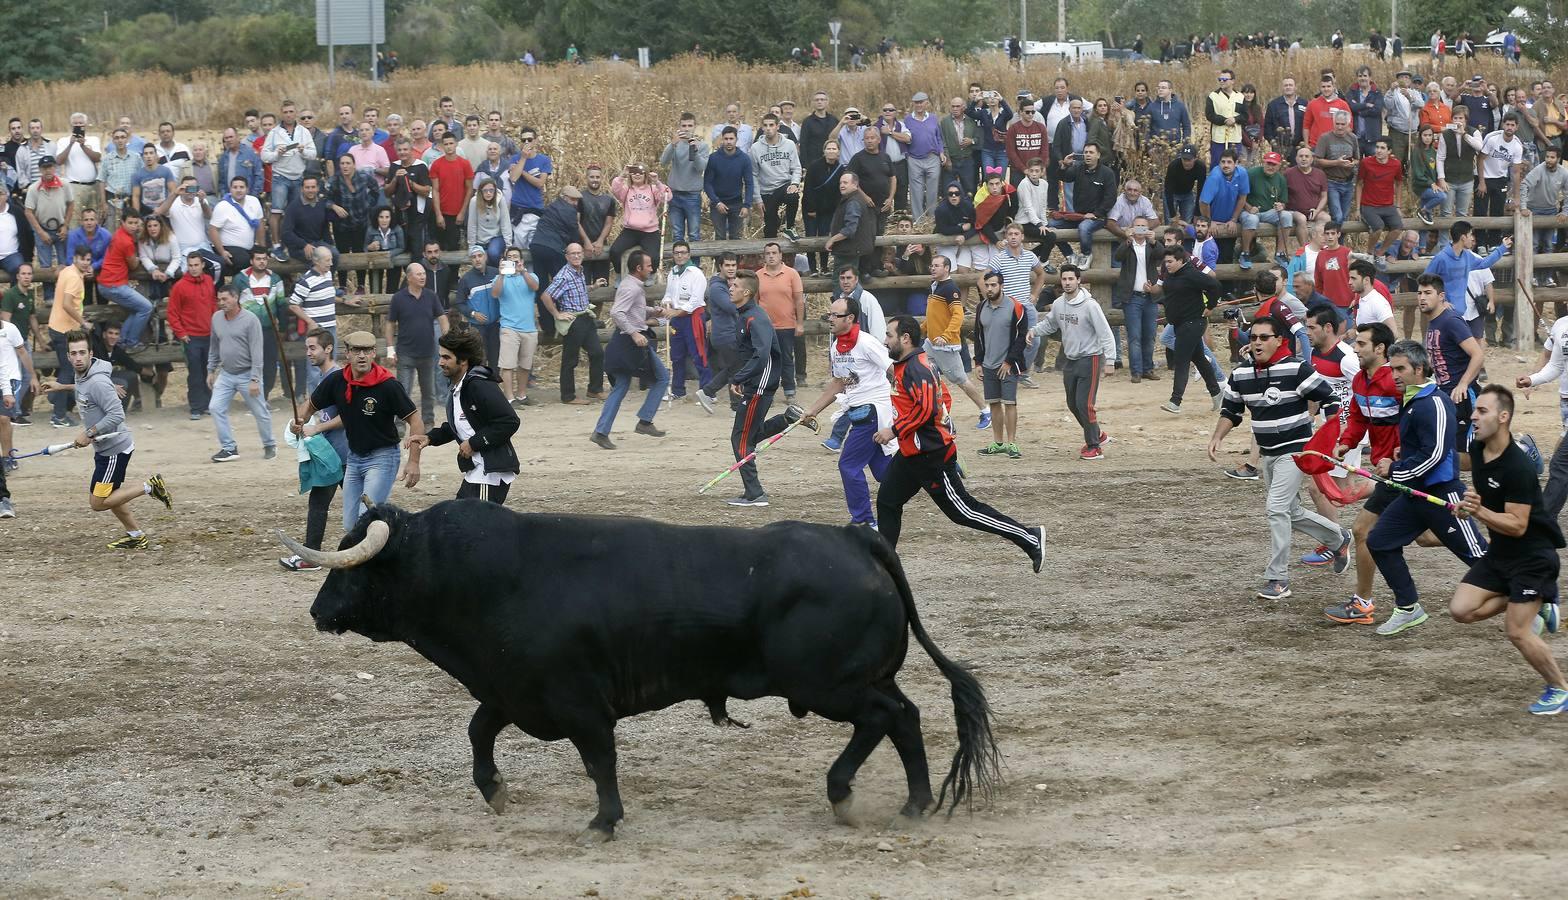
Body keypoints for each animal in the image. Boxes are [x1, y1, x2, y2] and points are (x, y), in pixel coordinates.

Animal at [279, 501, 1003, 840]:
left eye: (356, 561)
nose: (317, 610)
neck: (483, 576)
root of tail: (855, 536)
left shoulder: (578, 703)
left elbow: (600, 760)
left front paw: (603, 821)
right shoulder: (514, 692)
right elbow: (478, 731)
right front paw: (495, 791)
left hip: (831, 684)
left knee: (889, 719)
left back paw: (864, 796)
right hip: (856, 680)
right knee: (902, 719)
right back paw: (899, 802)